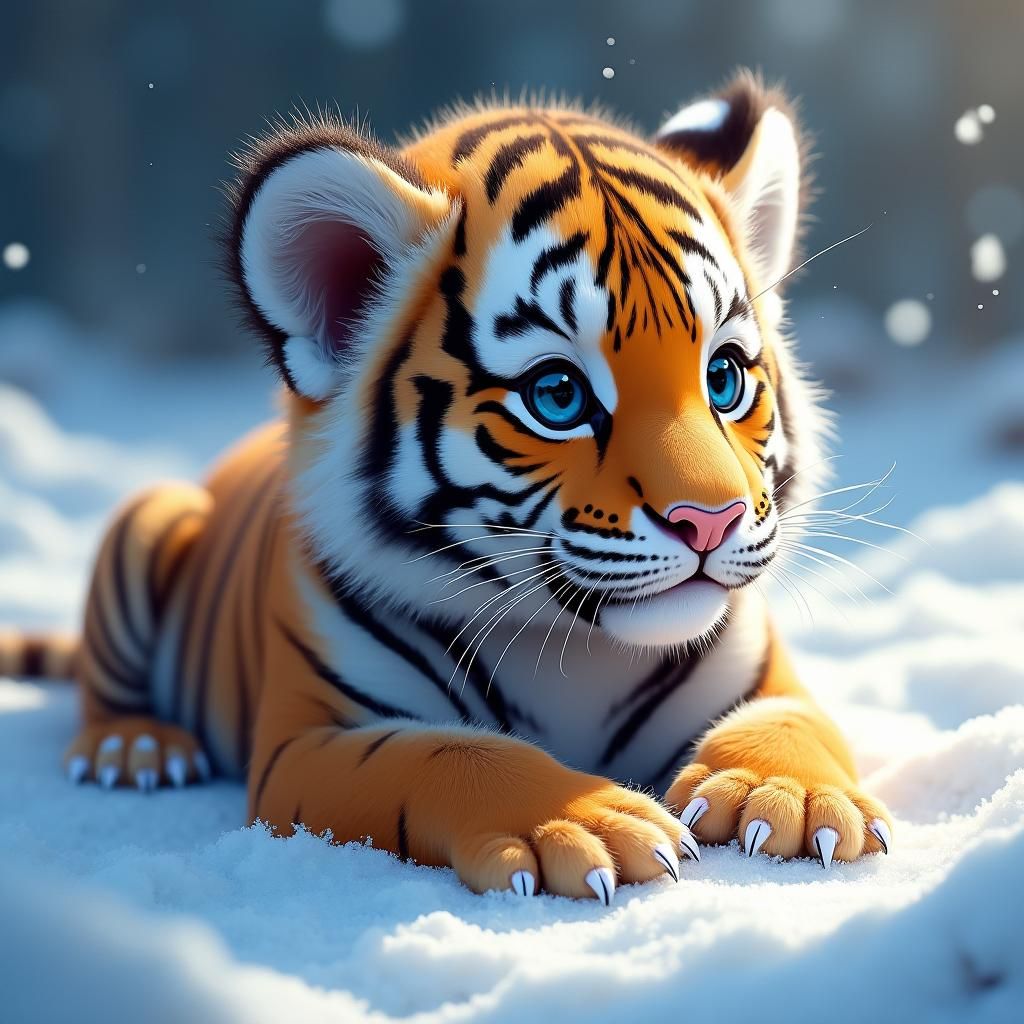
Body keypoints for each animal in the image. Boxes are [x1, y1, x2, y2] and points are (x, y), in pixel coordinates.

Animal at [0, 70, 893, 902]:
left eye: (724, 377)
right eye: (558, 395)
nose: (712, 519)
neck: (575, 653)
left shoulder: (763, 673)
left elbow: (791, 720)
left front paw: (787, 795)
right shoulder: (311, 739)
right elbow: (447, 754)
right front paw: (581, 823)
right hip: (150, 518)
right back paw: (135, 749)